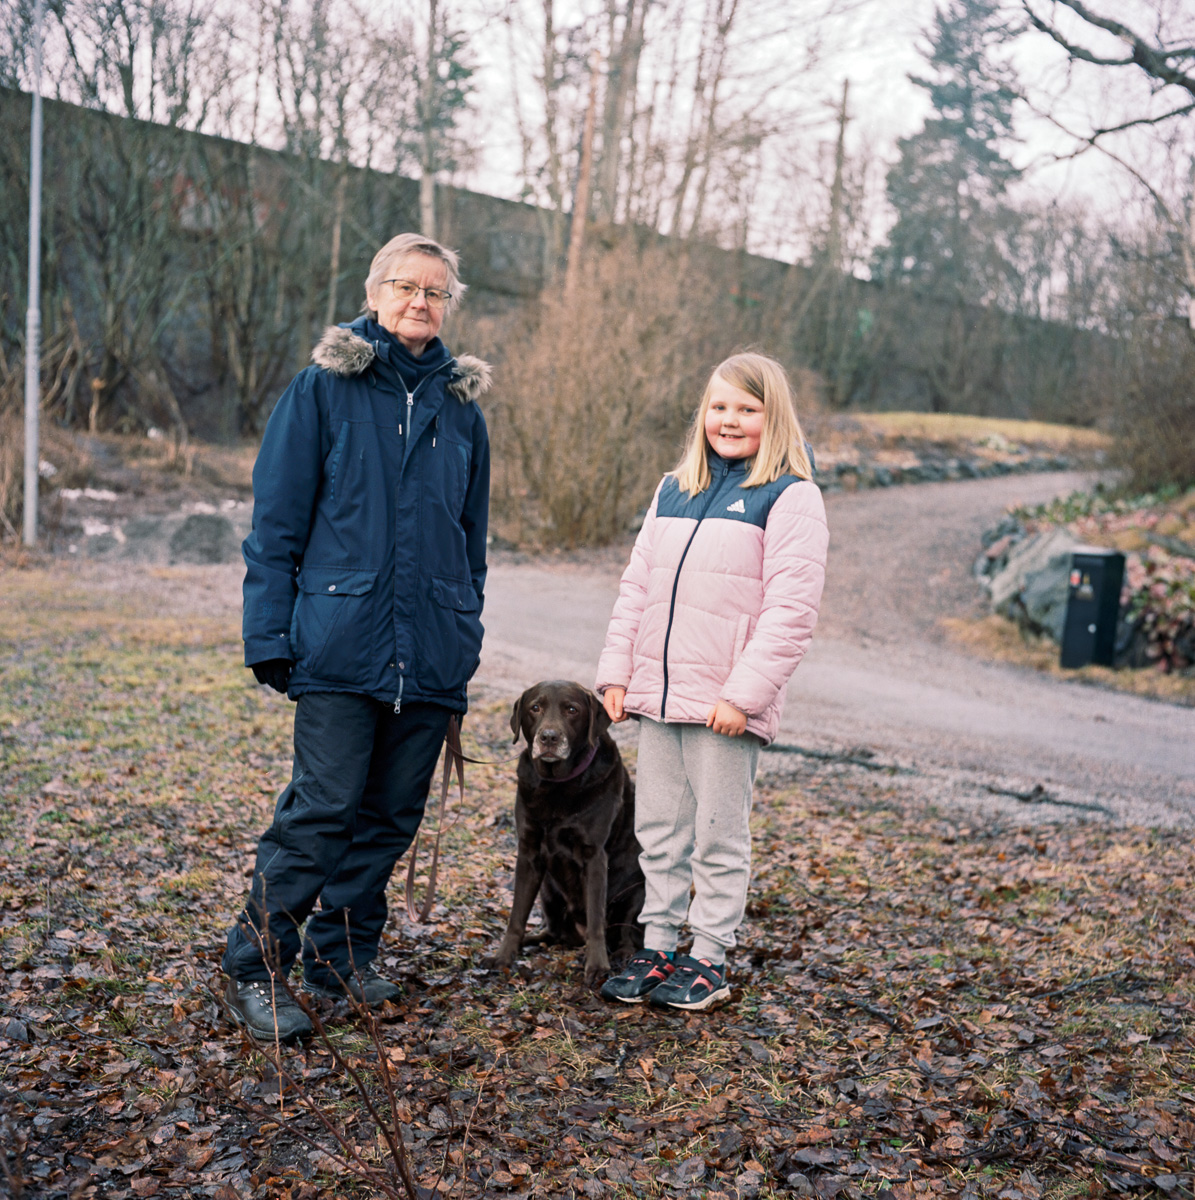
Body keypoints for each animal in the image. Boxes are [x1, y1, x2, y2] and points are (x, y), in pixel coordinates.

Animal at [482, 681, 643, 979]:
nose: (548, 737)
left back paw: (621, 955)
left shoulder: (594, 856)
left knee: (628, 934)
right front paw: (503, 956)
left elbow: (595, 919)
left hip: (637, 891)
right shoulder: (529, 852)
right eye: (535, 707)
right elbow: (516, 915)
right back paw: (531, 941)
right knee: (554, 933)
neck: (556, 784)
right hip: (548, 891)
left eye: (572, 710)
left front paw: (597, 966)